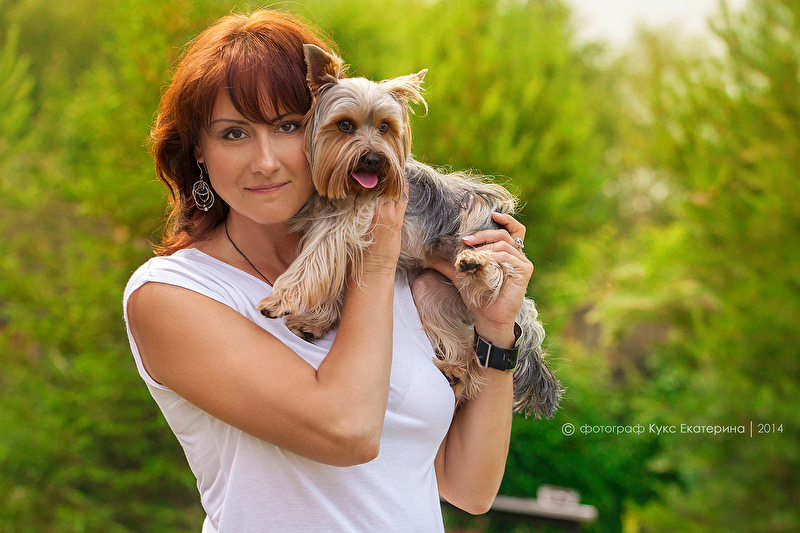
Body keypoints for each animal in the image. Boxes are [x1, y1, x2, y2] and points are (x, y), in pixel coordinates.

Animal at [256, 44, 561, 418]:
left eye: (385, 128)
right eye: (344, 125)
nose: (373, 160)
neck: (347, 190)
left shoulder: (348, 224)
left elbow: (313, 261)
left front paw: (280, 300)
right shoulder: (345, 233)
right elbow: (331, 274)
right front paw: (315, 322)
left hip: (483, 225)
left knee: (500, 272)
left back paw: (476, 264)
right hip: (432, 290)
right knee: (468, 352)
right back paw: (456, 373)